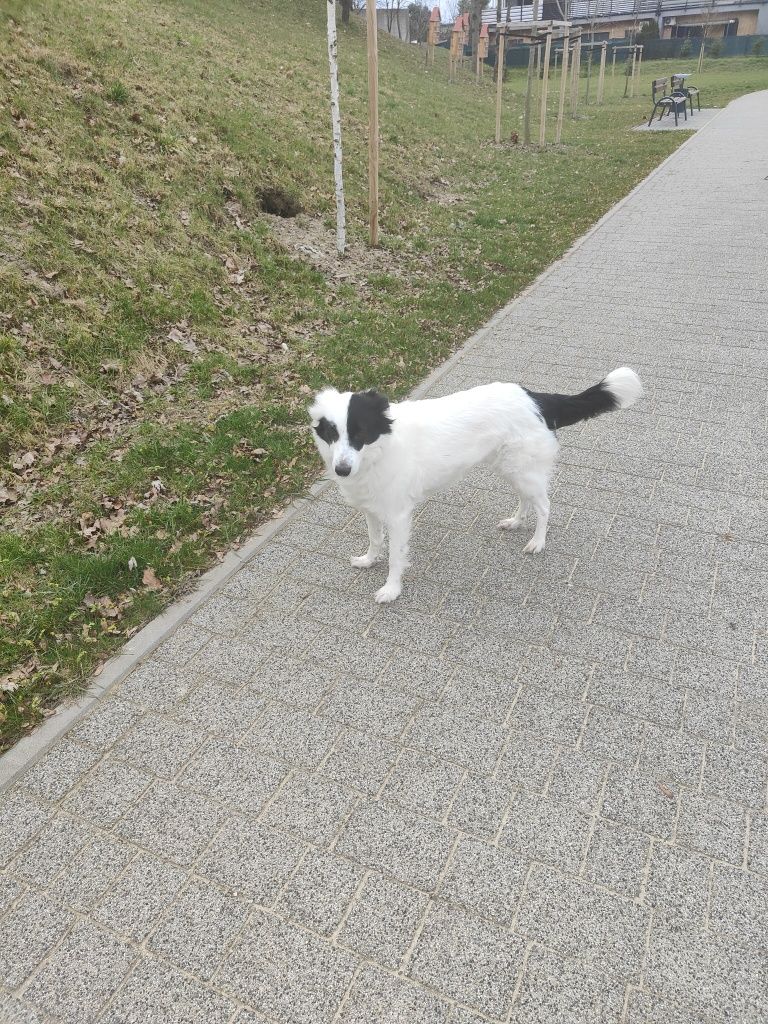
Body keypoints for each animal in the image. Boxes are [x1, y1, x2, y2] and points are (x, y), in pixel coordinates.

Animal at [311, 368, 643, 602]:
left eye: (360, 433)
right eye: (332, 433)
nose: (342, 470)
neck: (379, 450)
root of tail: (534, 397)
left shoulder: (398, 515)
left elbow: (395, 556)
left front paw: (391, 589)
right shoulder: (371, 507)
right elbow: (375, 540)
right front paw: (369, 560)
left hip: (524, 470)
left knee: (545, 506)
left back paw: (538, 541)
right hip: (510, 467)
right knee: (526, 499)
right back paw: (516, 522)